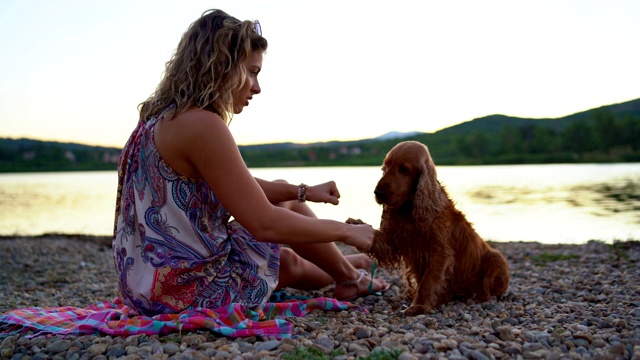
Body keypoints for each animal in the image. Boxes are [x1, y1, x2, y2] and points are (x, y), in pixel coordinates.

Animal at [348, 141, 508, 316]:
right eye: (385, 168)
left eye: (403, 169)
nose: (378, 192)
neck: (411, 210)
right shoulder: (395, 241)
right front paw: (355, 225)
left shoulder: (439, 252)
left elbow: (427, 282)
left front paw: (419, 306)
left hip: (497, 259)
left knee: (487, 290)